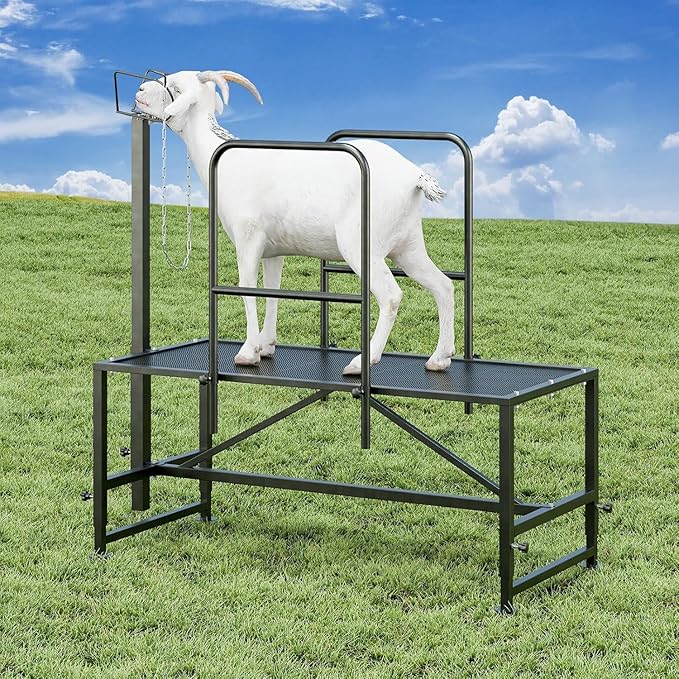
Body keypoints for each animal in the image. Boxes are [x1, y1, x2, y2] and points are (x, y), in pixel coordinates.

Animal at [133, 70, 454, 375]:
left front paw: (248, 352)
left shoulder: (248, 239)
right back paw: (440, 359)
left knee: (391, 296)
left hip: (361, 245)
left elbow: (246, 287)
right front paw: (266, 345)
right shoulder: (273, 251)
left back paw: (363, 361)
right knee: (444, 286)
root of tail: (414, 176)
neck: (227, 161)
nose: (139, 91)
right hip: (407, 245)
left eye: (174, 87)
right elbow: (271, 291)